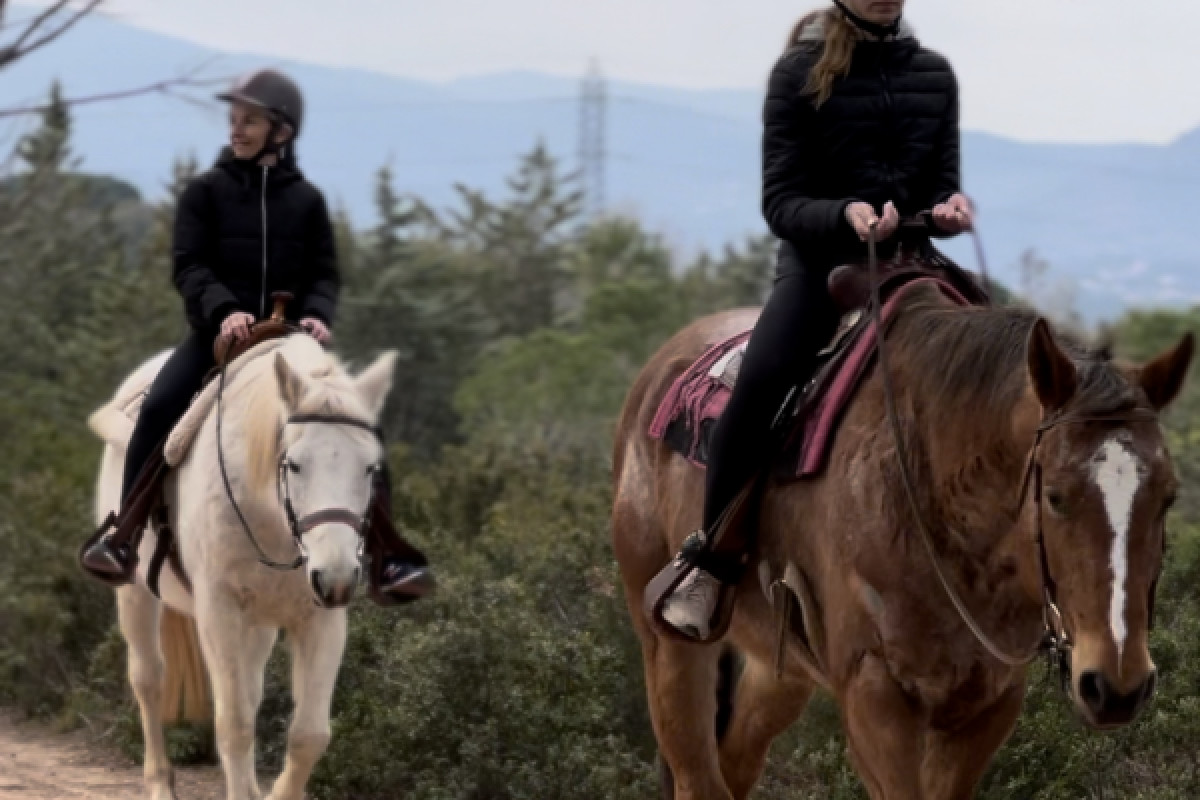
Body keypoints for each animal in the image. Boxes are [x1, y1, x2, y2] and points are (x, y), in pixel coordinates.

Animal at [88, 334, 398, 800]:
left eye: (369, 468)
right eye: (294, 464)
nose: (337, 579)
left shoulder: (322, 617)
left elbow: (309, 735)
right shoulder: (219, 610)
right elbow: (234, 725)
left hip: (260, 622)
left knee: (250, 691)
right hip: (136, 593)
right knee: (149, 680)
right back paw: (161, 783)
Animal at [612, 282, 1194, 800]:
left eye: (1168, 497)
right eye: (1054, 496)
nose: (1116, 687)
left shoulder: (988, 703)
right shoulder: (873, 694)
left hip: (777, 674)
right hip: (670, 650)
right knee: (698, 779)